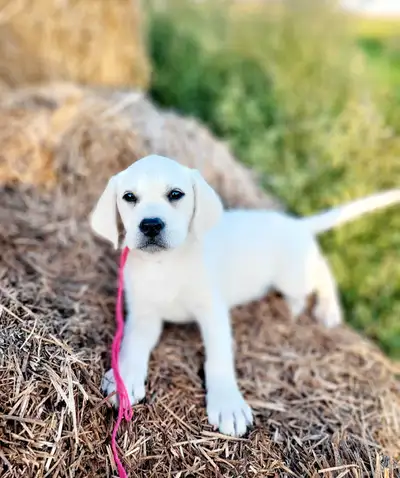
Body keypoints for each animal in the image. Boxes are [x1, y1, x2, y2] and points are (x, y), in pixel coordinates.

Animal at [90, 154, 400, 436]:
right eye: (129, 197)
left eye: (175, 194)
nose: (151, 225)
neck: (166, 265)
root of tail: (296, 224)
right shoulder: (144, 316)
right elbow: (131, 346)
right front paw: (124, 378)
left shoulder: (214, 314)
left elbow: (219, 358)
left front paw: (228, 405)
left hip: (293, 276)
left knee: (323, 273)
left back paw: (328, 309)